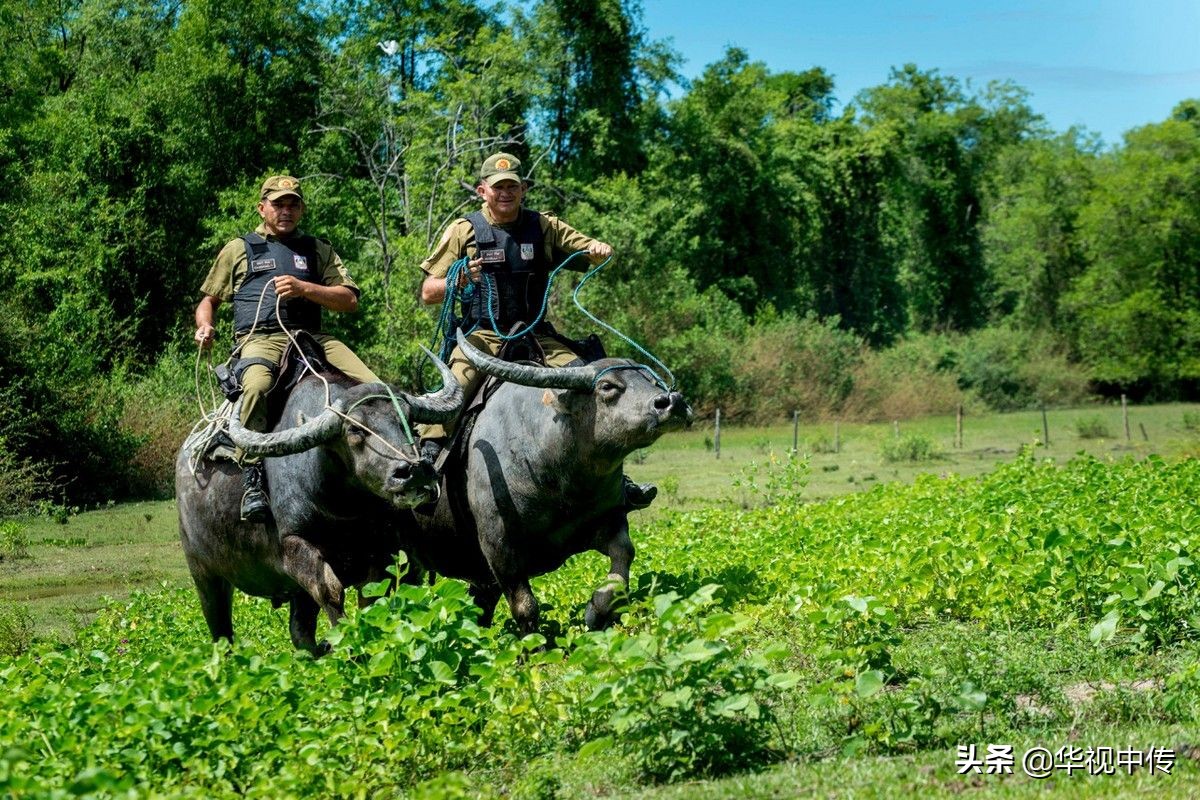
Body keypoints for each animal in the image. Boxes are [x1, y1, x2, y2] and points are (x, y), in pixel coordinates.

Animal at [175, 359, 460, 652]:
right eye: (355, 429)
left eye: (409, 420)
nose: (415, 471)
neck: (342, 511)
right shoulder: (294, 545)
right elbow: (330, 590)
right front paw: (347, 642)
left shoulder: (382, 552)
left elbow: (372, 596)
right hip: (205, 575)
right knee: (221, 630)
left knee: (300, 632)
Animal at [405, 328, 696, 633]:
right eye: (607, 386)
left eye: (651, 380)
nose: (672, 402)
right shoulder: (499, 547)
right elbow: (526, 607)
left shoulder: (609, 521)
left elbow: (624, 557)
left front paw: (596, 611)